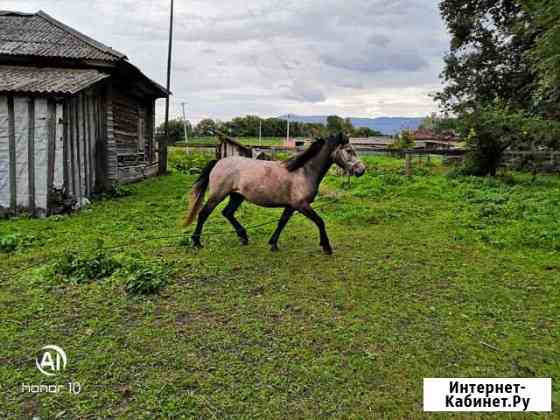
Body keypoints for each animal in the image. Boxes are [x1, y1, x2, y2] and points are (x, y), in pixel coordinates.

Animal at [185, 133, 368, 254]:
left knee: (227, 213)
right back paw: (196, 242)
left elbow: (282, 222)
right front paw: (327, 247)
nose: (361, 170)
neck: (303, 171)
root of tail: (219, 161)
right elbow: (320, 222)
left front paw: (273, 244)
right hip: (218, 195)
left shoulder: (291, 206)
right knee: (203, 214)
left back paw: (243, 237)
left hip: (237, 196)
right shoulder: (301, 205)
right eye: (349, 150)